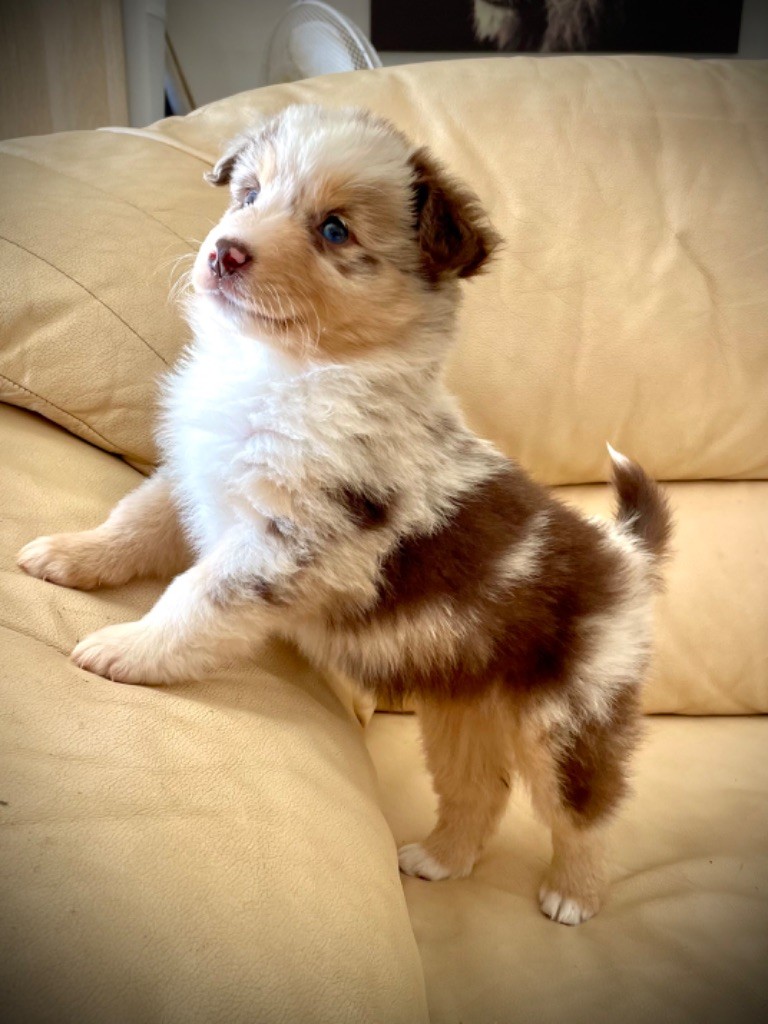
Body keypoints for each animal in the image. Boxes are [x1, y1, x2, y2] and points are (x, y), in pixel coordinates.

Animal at [18, 105, 671, 925]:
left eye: (334, 230)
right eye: (248, 194)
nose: (223, 252)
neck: (287, 368)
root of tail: (625, 557)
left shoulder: (288, 540)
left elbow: (192, 596)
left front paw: (126, 649)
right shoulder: (195, 474)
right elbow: (135, 520)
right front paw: (68, 555)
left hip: (568, 720)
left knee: (587, 812)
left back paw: (572, 895)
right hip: (460, 711)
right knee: (478, 790)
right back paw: (438, 859)